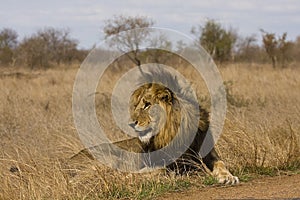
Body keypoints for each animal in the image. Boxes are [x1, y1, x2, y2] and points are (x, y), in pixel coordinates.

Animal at [72, 68, 239, 184]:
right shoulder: (166, 163)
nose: (130, 123)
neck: (172, 132)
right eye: (137, 106)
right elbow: (161, 170)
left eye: (147, 105)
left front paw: (228, 177)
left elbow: (220, 163)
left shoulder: (206, 151)